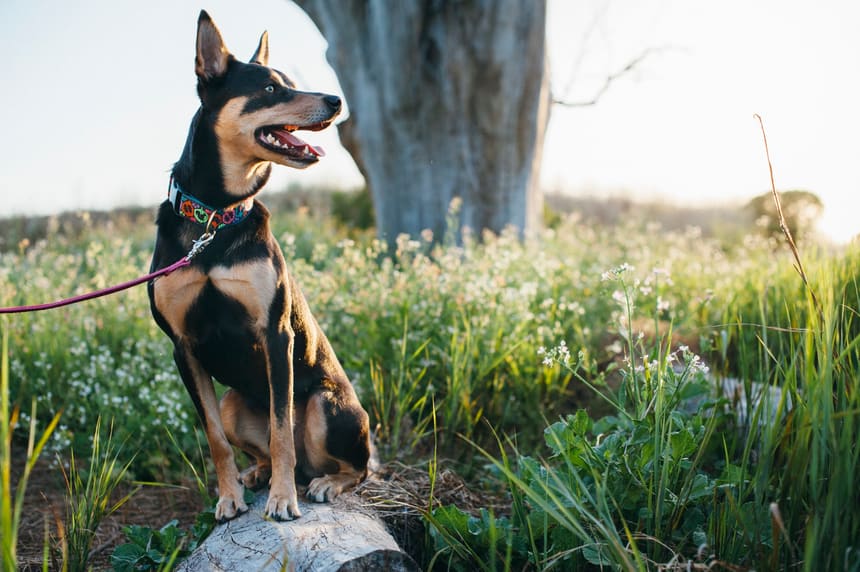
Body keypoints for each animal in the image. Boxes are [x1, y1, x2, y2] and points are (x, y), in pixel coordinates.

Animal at [149, 11, 372, 524]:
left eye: (289, 83)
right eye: (271, 89)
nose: (336, 100)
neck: (215, 217)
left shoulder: (276, 334)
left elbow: (280, 427)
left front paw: (283, 500)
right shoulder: (183, 347)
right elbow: (215, 437)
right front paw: (228, 497)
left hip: (326, 407)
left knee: (355, 467)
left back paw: (322, 483)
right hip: (234, 401)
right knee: (261, 446)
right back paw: (258, 475)